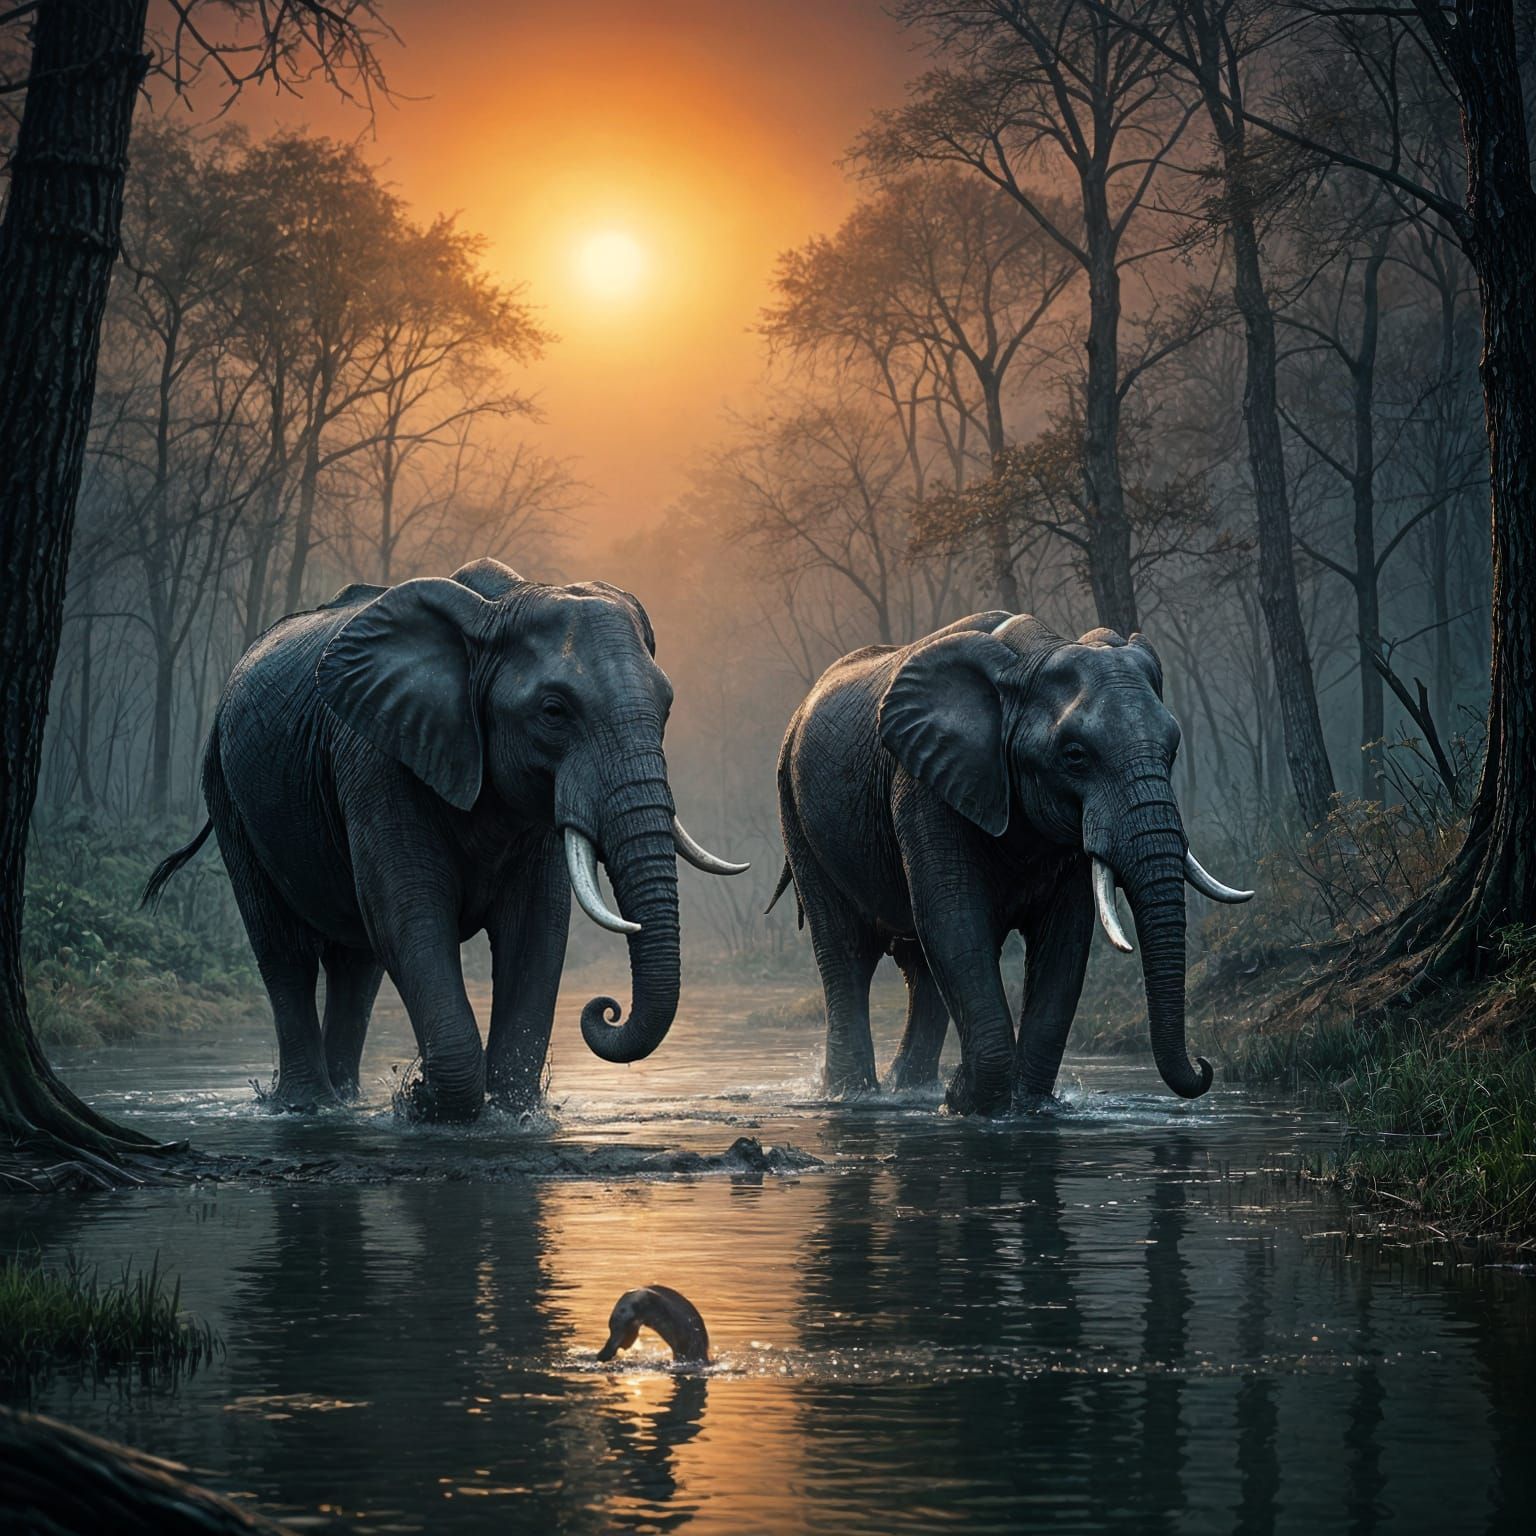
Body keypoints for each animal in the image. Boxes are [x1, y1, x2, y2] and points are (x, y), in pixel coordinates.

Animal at [143, 557, 747, 1120]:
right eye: (553, 711)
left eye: (666, 706)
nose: (607, 1008)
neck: (492, 617)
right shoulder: (378, 755)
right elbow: (409, 914)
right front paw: (425, 1104)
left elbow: (537, 926)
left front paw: (506, 1113)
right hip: (228, 790)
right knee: (284, 951)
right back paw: (304, 1107)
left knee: (355, 966)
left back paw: (346, 1101)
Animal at [770, 611, 1252, 1115]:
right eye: (1075, 756)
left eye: (1172, 750)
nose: (1204, 1067)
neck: (1032, 658)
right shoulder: (927, 786)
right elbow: (954, 920)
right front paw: (968, 1103)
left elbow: (1065, 942)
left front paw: (1025, 1105)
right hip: (795, 814)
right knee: (847, 954)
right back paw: (852, 1094)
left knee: (919, 967)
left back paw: (908, 1090)